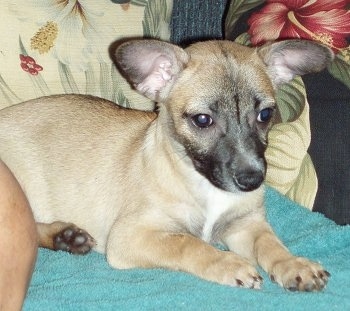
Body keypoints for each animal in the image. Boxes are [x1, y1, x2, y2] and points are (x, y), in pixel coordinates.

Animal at [0, 39, 334, 292]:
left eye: (265, 115)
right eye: (203, 120)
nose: (252, 179)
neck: (202, 184)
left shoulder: (245, 225)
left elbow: (270, 243)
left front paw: (293, 264)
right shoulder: (131, 236)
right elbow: (188, 244)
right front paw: (226, 263)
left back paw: (66, 237)